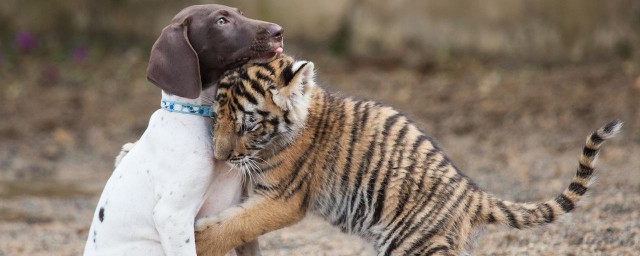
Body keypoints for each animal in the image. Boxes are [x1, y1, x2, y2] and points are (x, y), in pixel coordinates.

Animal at [84, 4, 284, 256]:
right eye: (221, 22)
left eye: (240, 13)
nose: (278, 31)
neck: (201, 116)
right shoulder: (173, 216)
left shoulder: (239, 204)